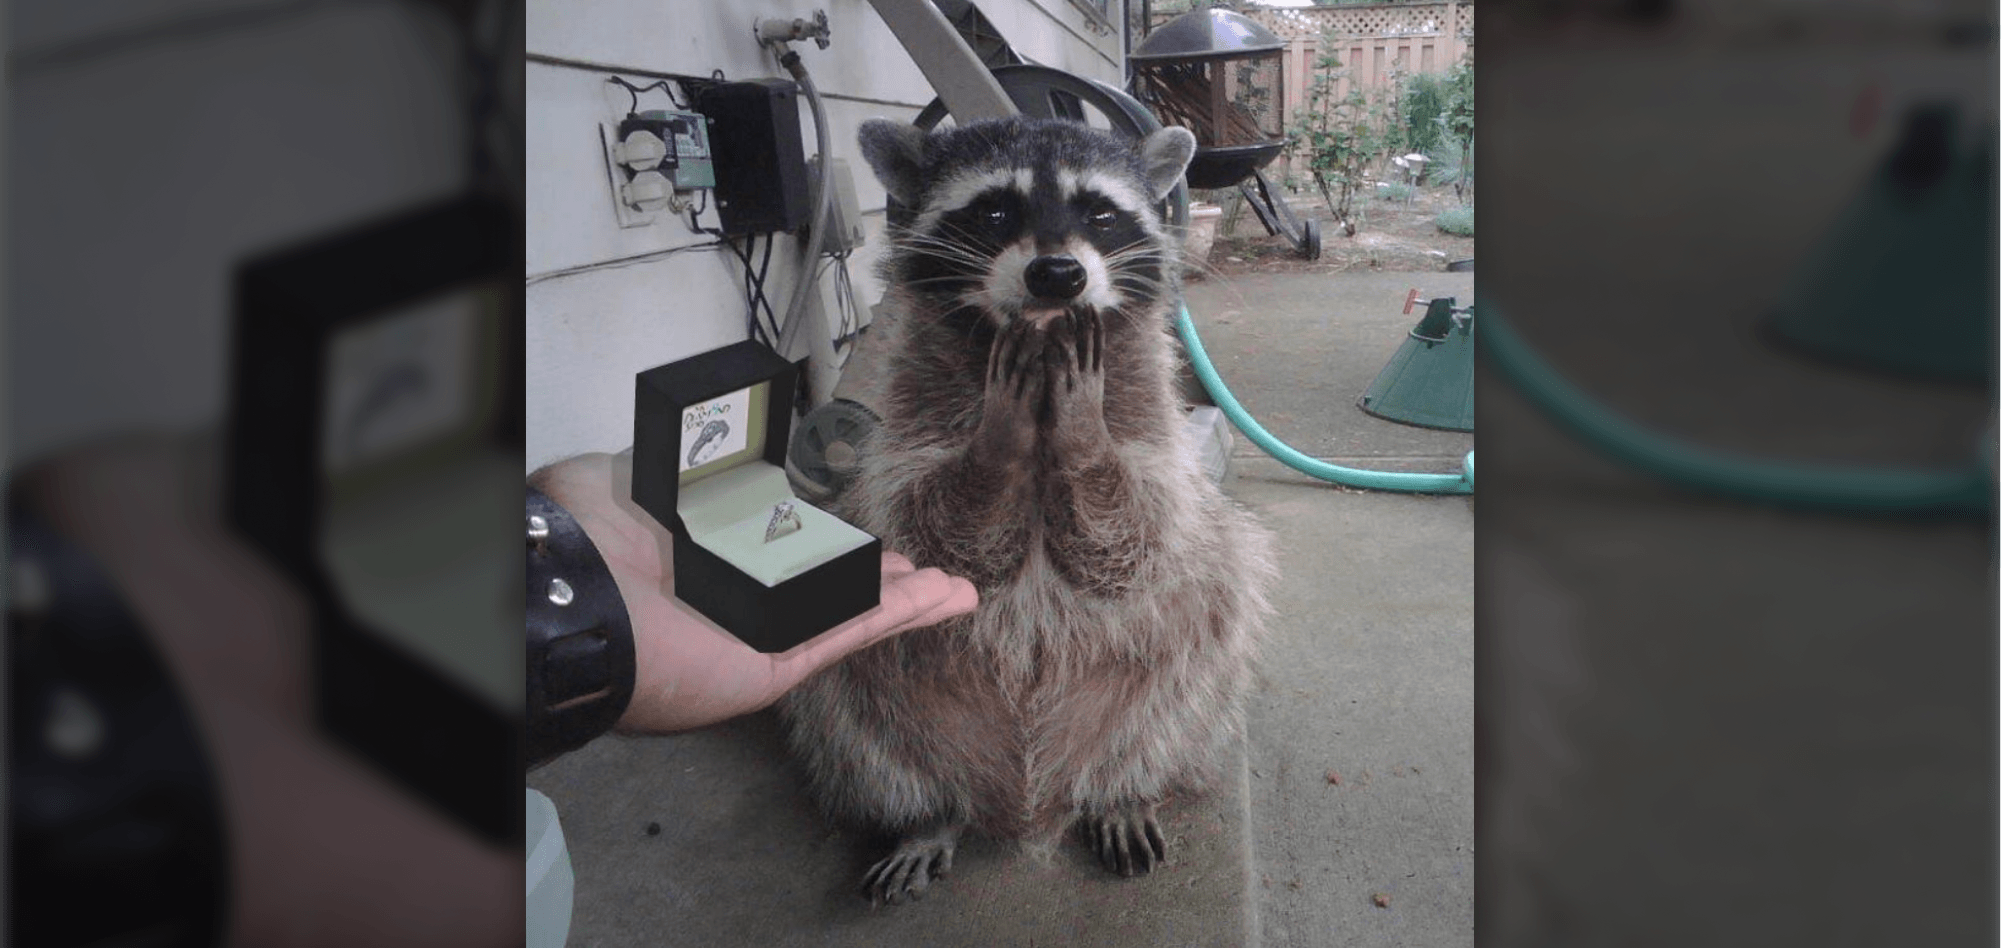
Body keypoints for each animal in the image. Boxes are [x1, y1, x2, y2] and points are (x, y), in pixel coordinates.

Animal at [778, 116, 1277, 906]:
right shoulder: (905, 440)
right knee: (844, 704)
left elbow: (1137, 538)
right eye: (993, 211)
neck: (1042, 355)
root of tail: (1027, 803)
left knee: (1205, 646)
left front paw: (1083, 438)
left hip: (1177, 689)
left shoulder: (1151, 430)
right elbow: (935, 539)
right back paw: (924, 814)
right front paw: (998, 443)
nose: (1057, 274)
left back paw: (1123, 790)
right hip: (878, 716)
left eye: (1099, 213)